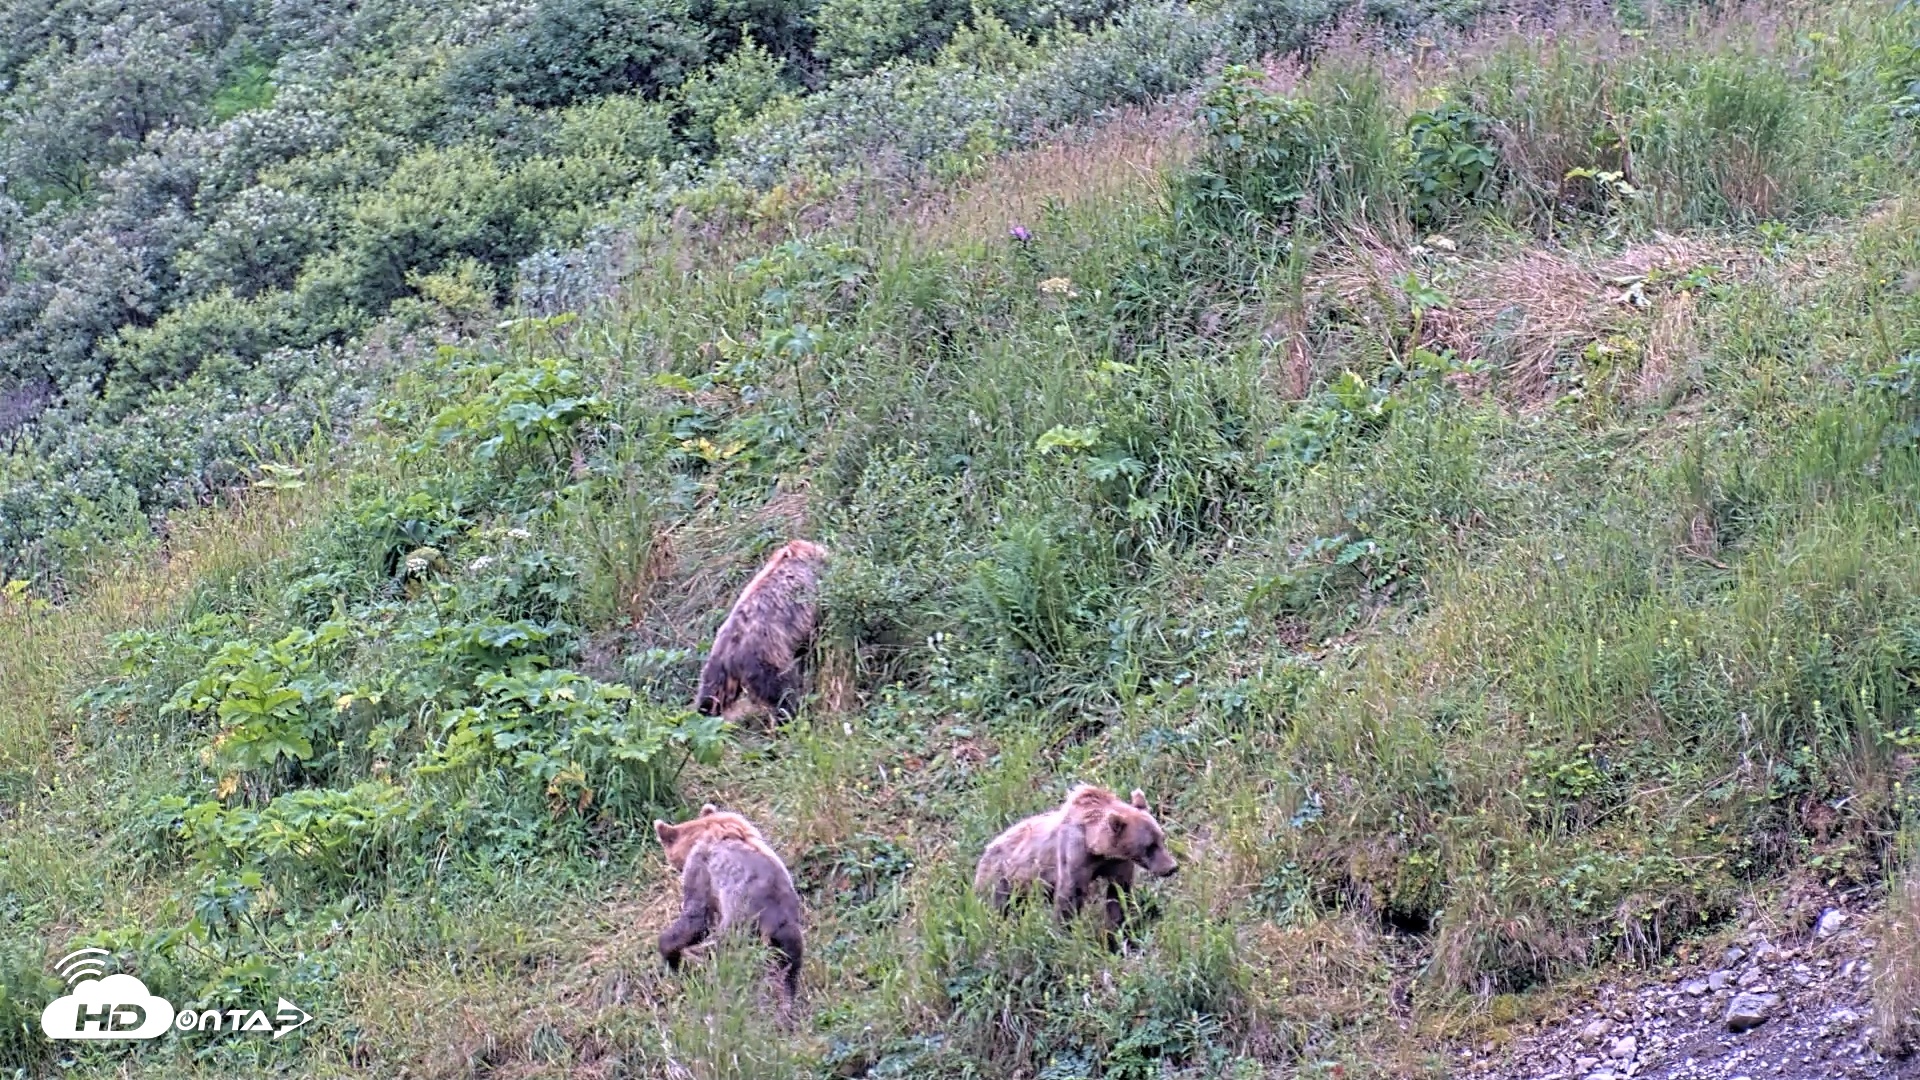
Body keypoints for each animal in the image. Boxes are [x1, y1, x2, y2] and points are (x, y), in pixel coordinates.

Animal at [654, 803, 805, 1005]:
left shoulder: (702, 867)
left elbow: (696, 916)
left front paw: (670, 954)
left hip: (741, 925)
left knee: (716, 949)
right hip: (787, 929)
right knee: (790, 964)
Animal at [693, 539, 827, 724]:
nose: (824, 550)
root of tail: (728, 657)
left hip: (713, 672)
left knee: (709, 695)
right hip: (768, 662)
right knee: (784, 693)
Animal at [973, 784, 1178, 933]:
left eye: (1161, 838)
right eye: (1149, 846)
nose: (1172, 867)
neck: (1096, 847)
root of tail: (986, 850)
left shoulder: (1117, 862)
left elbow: (1119, 893)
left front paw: (1119, 929)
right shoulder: (1074, 853)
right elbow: (1070, 893)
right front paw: (1064, 931)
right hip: (1001, 878)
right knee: (999, 906)